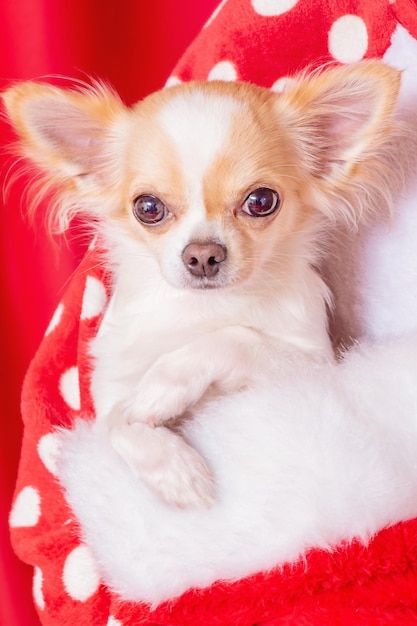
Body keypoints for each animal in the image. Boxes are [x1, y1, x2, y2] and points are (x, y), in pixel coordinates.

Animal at [1, 59, 402, 508]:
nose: (203, 255)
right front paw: (176, 471)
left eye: (261, 201)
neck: (203, 309)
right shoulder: (109, 398)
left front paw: (161, 387)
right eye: (148, 207)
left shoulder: (315, 365)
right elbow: (119, 424)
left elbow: (231, 338)